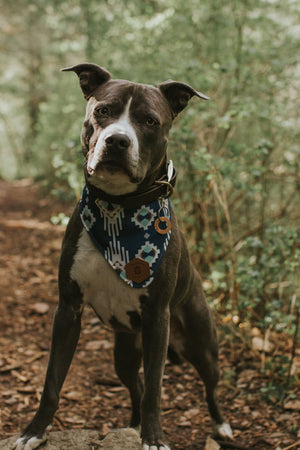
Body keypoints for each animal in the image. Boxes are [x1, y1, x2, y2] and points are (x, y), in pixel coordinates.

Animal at [12, 64, 233, 450]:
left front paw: (155, 438)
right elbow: (52, 382)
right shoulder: (68, 310)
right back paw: (133, 426)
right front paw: (34, 431)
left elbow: (156, 391)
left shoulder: (158, 319)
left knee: (208, 386)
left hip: (201, 345)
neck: (119, 211)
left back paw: (220, 426)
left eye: (149, 121)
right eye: (103, 111)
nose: (117, 140)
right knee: (136, 385)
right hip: (126, 354)